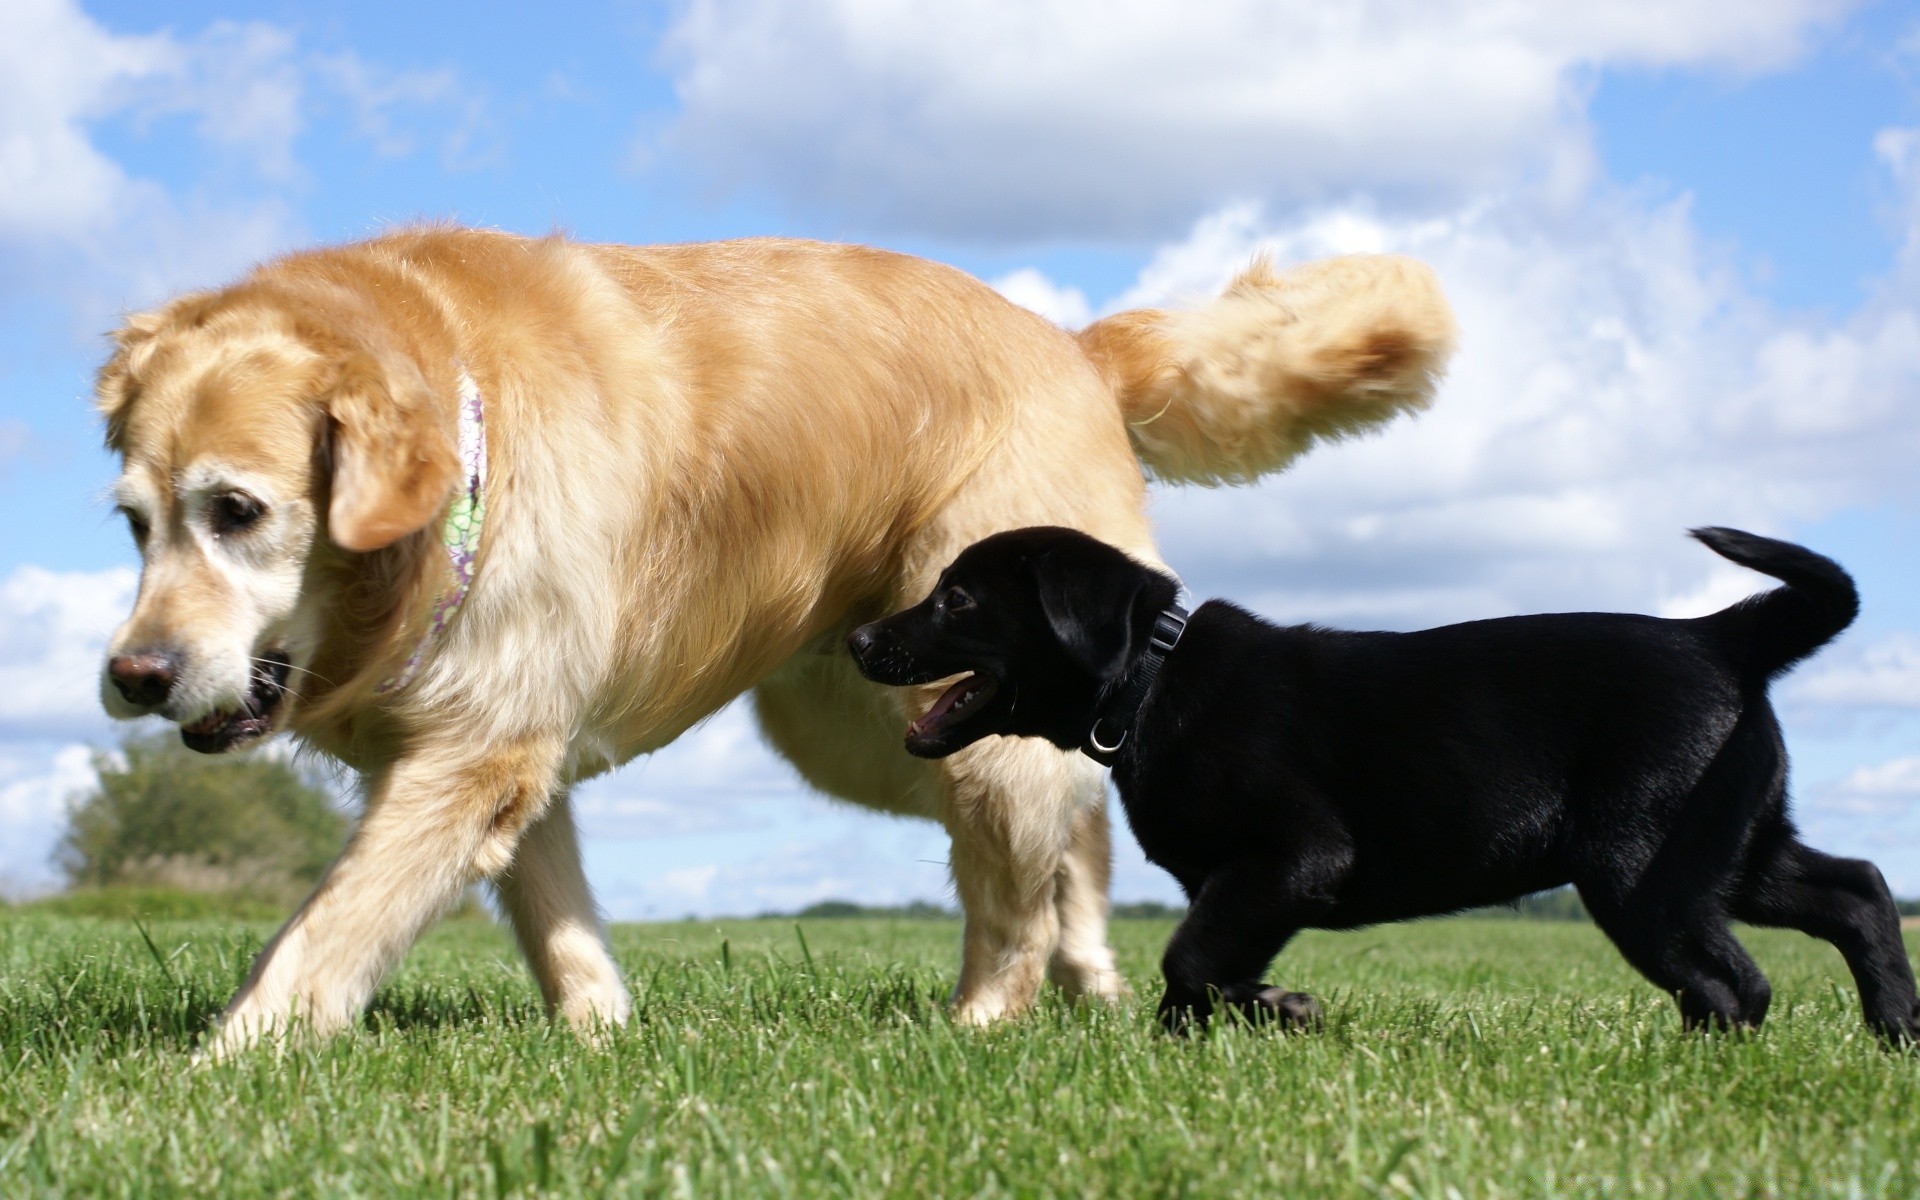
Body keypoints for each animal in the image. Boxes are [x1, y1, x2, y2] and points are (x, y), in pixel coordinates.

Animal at [856, 526, 1920, 1036]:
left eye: (958, 598)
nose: (861, 638)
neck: (1152, 680)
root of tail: (1722, 637)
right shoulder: (1245, 885)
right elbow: (1200, 974)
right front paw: (1232, 1026)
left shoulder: (1292, 856)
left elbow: (1190, 960)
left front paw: (1282, 1012)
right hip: (1733, 845)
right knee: (1858, 889)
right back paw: (1895, 1035)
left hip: (1645, 869)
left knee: (1737, 984)